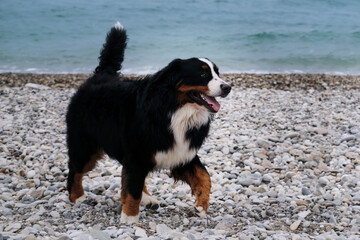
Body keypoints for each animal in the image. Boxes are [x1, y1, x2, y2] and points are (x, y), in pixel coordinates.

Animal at [66, 21, 232, 224]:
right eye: (202, 74)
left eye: (217, 72)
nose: (227, 87)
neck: (175, 110)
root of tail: (101, 75)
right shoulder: (138, 153)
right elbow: (133, 189)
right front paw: (129, 217)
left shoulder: (182, 151)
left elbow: (204, 177)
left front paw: (201, 206)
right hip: (86, 146)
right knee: (75, 169)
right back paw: (77, 197)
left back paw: (147, 198)